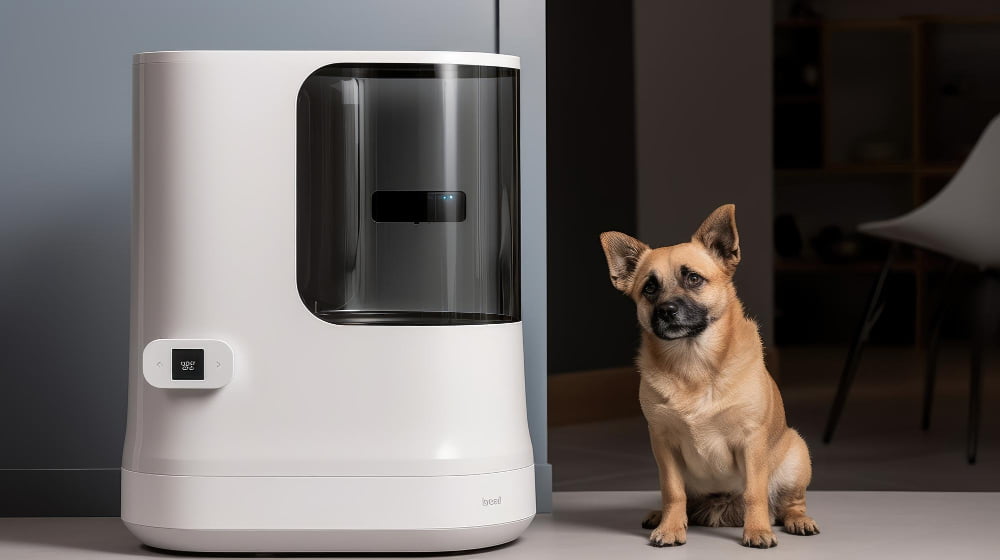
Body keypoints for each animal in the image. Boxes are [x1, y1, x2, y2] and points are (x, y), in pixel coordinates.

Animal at [600, 205, 820, 548]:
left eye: (693, 278)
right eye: (649, 288)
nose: (666, 310)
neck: (694, 363)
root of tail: (723, 506)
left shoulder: (751, 442)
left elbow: (755, 493)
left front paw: (757, 530)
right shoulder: (663, 444)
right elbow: (672, 492)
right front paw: (671, 528)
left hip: (797, 456)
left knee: (788, 504)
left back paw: (798, 520)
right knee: (682, 501)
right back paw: (661, 516)